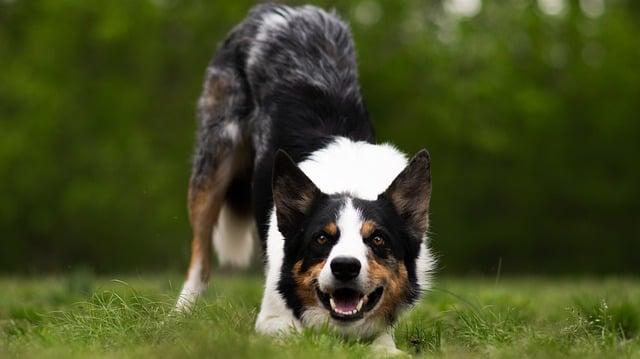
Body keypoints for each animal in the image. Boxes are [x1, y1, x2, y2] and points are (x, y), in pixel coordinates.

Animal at [175, 3, 436, 354]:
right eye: (322, 239)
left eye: (378, 240)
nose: (345, 267)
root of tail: (282, 9)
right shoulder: (270, 318)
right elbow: (303, 334)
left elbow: (382, 340)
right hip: (213, 163)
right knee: (200, 256)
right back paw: (178, 314)